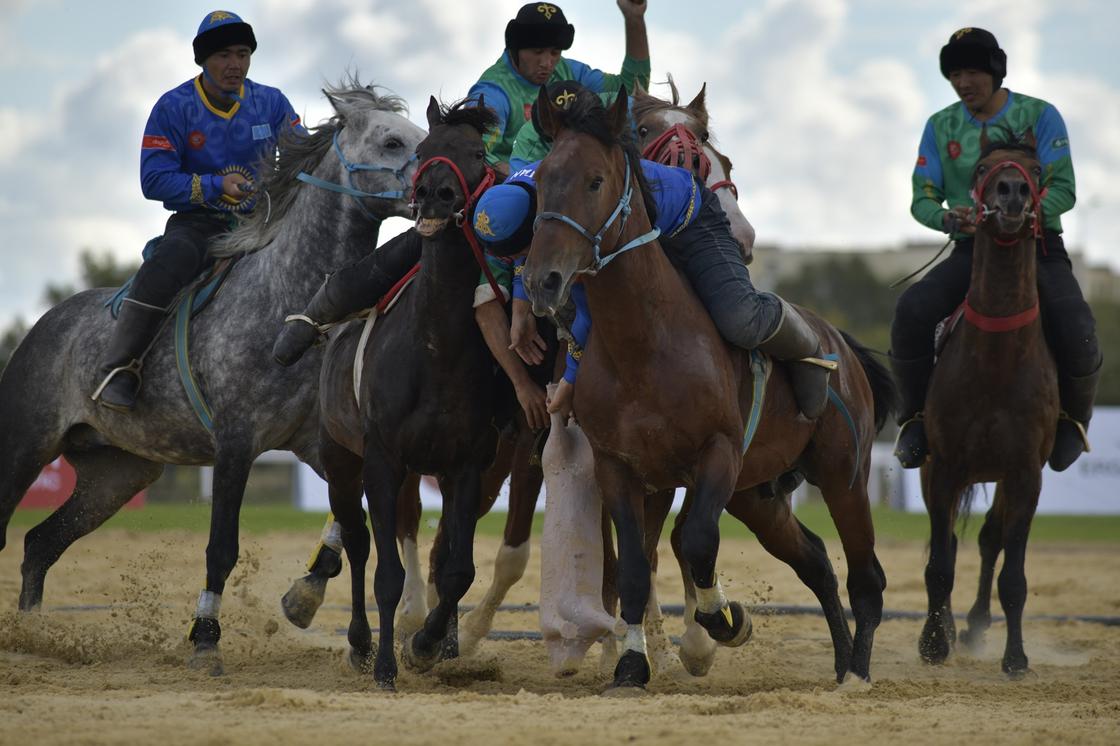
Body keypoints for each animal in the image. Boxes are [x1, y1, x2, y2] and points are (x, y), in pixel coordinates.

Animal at [315, 97, 508, 685]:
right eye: (423, 149)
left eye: (476, 152)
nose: (433, 193)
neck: (435, 350)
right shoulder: (382, 458)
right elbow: (387, 573)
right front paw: (385, 665)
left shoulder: (467, 464)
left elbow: (459, 569)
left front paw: (425, 644)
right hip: (340, 459)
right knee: (356, 543)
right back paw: (359, 642)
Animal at [521, 87, 891, 685]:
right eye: (543, 180)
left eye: (595, 180)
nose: (541, 280)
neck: (644, 346)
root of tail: (844, 347)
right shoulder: (618, 466)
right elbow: (635, 567)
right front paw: (632, 664)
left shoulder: (718, 454)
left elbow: (695, 540)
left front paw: (719, 623)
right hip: (759, 495)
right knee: (815, 560)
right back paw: (839, 664)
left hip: (844, 476)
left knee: (866, 576)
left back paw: (857, 673)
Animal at [913, 127, 1052, 672]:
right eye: (979, 169)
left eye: (1036, 171)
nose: (1010, 192)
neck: (996, 363)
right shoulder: (946, 465)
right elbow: (939, 563)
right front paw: (933, 643)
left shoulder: (1026, 472)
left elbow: (1013, 576)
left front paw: (1015, 658)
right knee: (949, 540)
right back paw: (951, 628)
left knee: (991, 539)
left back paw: (974, 625)